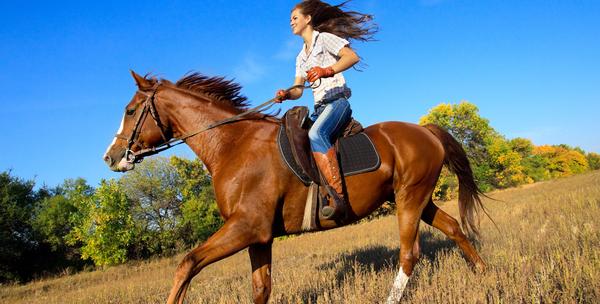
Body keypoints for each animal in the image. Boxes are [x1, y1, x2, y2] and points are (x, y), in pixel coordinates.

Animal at [103, 72, 488, 304]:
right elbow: (261, 289)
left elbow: (187, 264)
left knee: (410, 253)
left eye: (131, 110)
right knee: (454, 228)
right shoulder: (259, 237)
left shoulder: (246, 227)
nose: (111, 157)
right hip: (416, 198)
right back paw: (483, 273)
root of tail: (425, 130)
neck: (232, 145)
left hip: (409, 199)